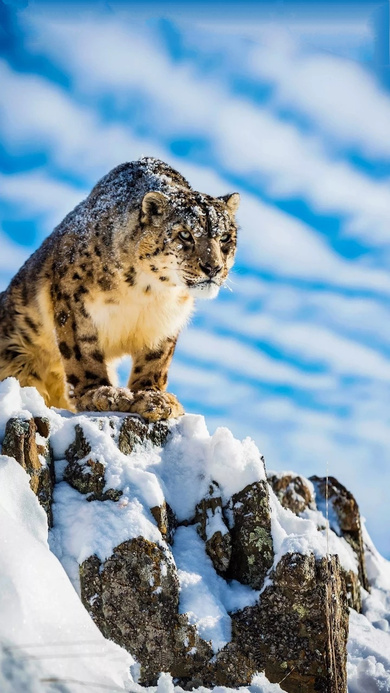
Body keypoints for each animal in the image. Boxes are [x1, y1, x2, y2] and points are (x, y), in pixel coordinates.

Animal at [0, 158, 239, 416]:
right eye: (185, 234)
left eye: (225, 237)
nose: (213, 267)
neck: (147, 292)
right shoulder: (73, 302)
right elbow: (82, 351)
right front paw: (101, 394)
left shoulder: (166, 320)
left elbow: (157, 359)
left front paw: (154, 398)